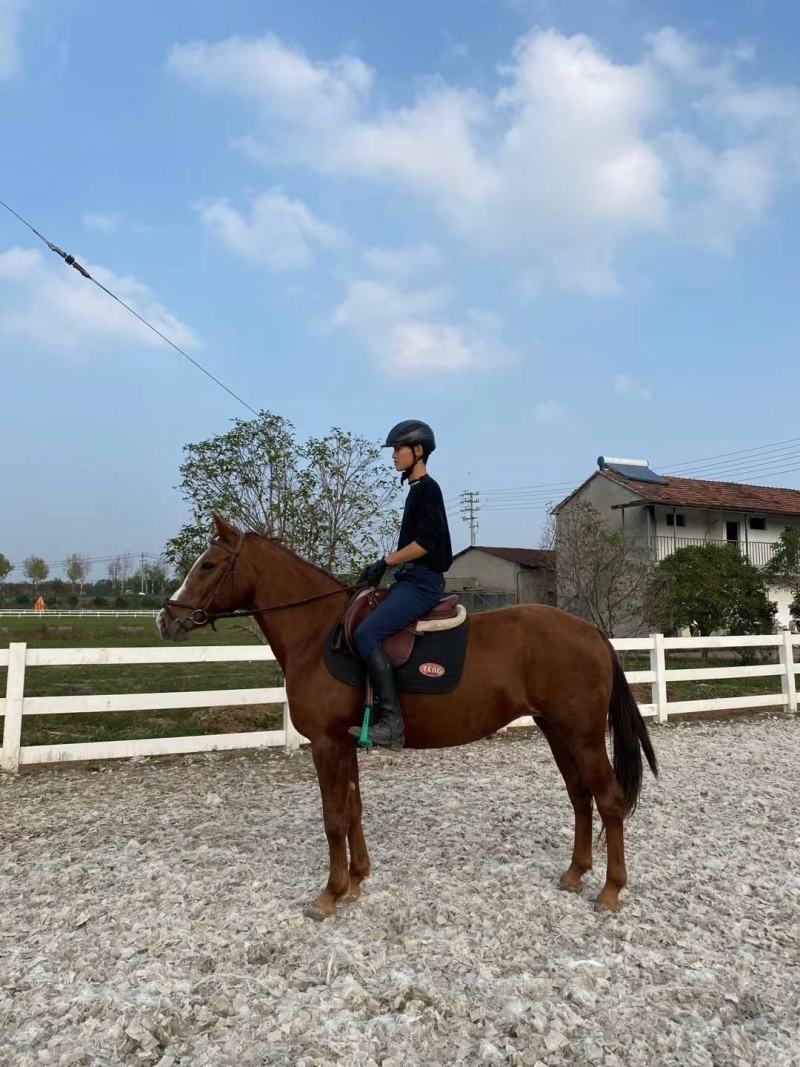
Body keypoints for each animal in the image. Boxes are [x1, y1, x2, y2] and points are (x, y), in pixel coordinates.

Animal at [157, 513, 658, 919]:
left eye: (208, 565)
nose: (166, 619)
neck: (317, 632)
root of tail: (591, 632)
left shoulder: (326, 743)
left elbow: (333, 817)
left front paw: (329, 895)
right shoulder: (343, 743)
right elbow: (353, 809)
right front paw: (357, 879)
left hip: (583, 735)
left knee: (609, 799)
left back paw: (610, 890)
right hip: (557, 730)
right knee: (579, 795)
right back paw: (574, 874)